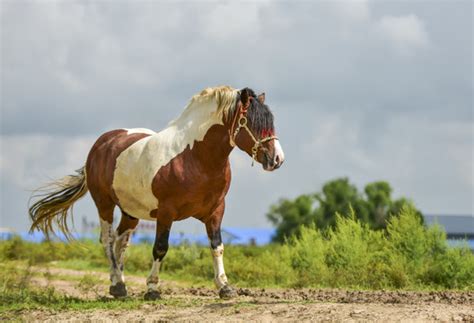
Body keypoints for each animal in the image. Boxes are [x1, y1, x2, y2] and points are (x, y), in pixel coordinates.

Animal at [28, 86, 286, 302]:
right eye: (251, 121)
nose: (277, 159)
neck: (195, 158)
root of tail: (101, 144)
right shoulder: (166, 213)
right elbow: (160, 247)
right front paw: (152, 289)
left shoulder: (216, 211)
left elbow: (217, 246)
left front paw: (225, 287)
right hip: (104, 204)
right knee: (108, 239)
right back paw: (118, 285)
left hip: (130, 212)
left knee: (121, 242)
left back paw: (118, 285)